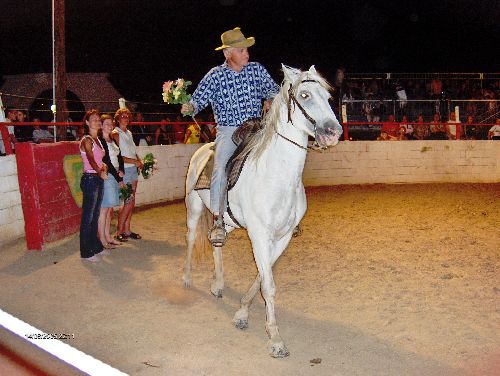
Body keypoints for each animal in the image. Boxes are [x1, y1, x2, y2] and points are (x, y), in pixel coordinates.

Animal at [184, 65, 344, 358]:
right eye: (304, 95)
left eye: (328, 96)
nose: (333, 131)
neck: (277, 176)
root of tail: (204, 147)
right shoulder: (259, 235)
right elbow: (269, 286)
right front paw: (276, 340)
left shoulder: (281, 237)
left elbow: (262, 276)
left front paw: (242, 313)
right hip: (193, 208)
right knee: (190, 239)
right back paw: (187, 278)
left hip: (225, 221)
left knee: (217, 243)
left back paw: (217, 284)